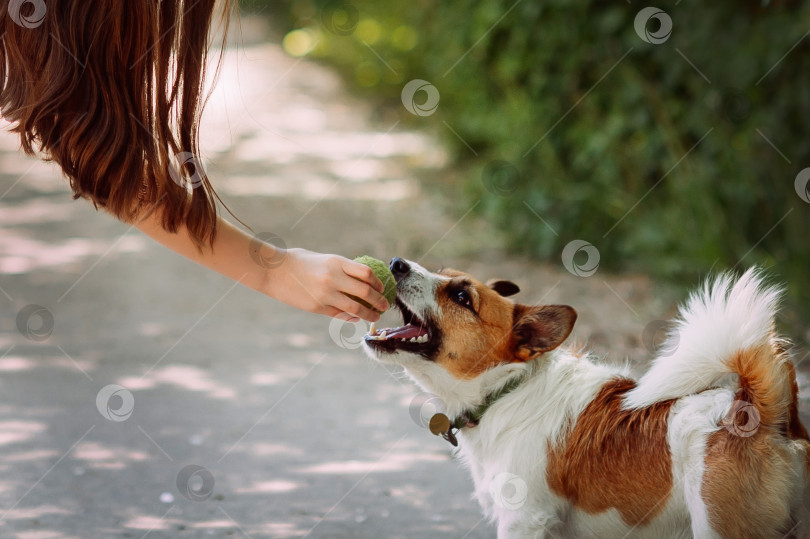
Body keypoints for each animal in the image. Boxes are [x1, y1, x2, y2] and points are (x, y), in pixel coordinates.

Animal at [362, 260, 808, 536]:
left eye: (460, 298)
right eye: (440, 274)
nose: (397, 263)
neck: (507, 390)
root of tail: (756, 410)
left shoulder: (524, 521)